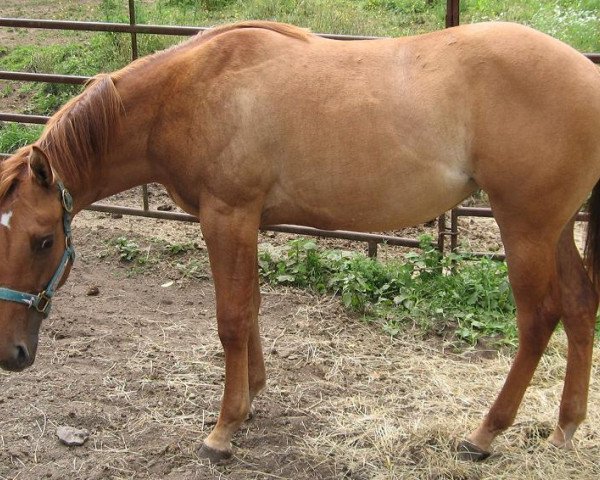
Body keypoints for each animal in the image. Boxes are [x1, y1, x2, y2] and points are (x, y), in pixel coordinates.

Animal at [1, 21, 600, 462]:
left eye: (43, 241)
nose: (12, 355)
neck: (189, 92)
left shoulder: (226, 217)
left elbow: (232, 318)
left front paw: (223, 429)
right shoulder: (245, 222)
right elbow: (251, 307)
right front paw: (251, 397)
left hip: (524, 226)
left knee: (538, 319)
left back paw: (483, 434)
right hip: (555, 228)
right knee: (578, 304)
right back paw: (564, 428)